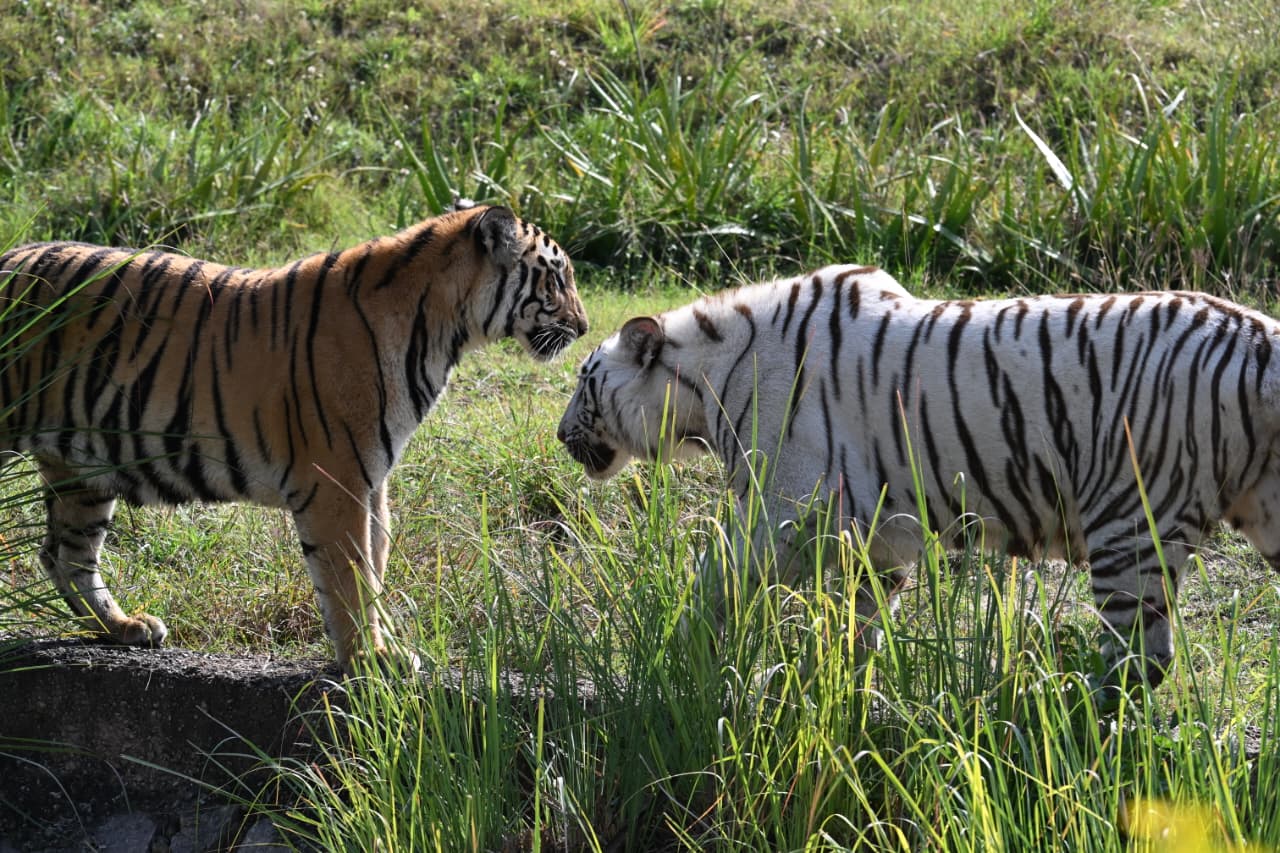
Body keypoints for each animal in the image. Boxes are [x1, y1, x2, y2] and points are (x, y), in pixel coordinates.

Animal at [0, 204, 588, 673]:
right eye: (556, 278)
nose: (583, 328)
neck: (443, 327)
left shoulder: (372, 479)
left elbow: (374, 564)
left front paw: (384, 649)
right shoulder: (336, 478)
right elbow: (349, 574)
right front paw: (369, 659)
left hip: (82, 467)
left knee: (66, 554)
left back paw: (125, 628)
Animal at [557, 263, 1280, 695]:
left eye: (583, 382)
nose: (561, 436)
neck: (705, 385)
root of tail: (1258, 335)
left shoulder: (782, 510)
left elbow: (719, 584)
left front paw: (679, 661)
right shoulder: (879, 531)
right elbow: (859, 620)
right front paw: (846, 689)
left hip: (1128, 526)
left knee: (1137, 665)